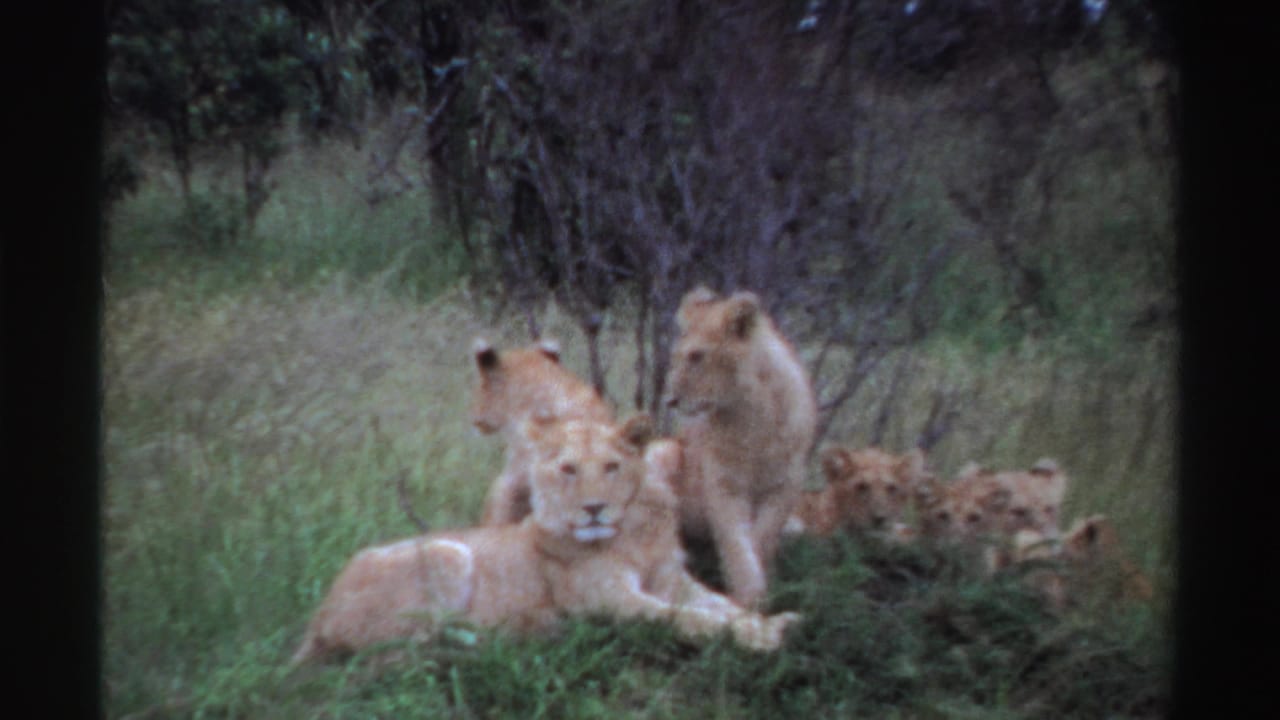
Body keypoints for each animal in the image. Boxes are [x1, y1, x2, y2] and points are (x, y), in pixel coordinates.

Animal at [291, 414, 800, 664]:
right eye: (568, 469)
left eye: (611, 467)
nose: (593, 508)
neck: (632, 536)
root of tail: (316, 617)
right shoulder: (610, 601)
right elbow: (691, 619)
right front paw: (762, 638)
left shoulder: (673, 580)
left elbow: (721, 605)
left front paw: (775, 622)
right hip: (446, 552)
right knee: (406, 648)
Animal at [664, 287, 818, 608]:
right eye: (676, 357)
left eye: (697, 356)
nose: (669, 400)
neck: (750, 415)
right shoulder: (723, 485)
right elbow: (736, 543)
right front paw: (748, 596)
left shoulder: (786, 485)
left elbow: (761, 538)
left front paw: (759, 590)